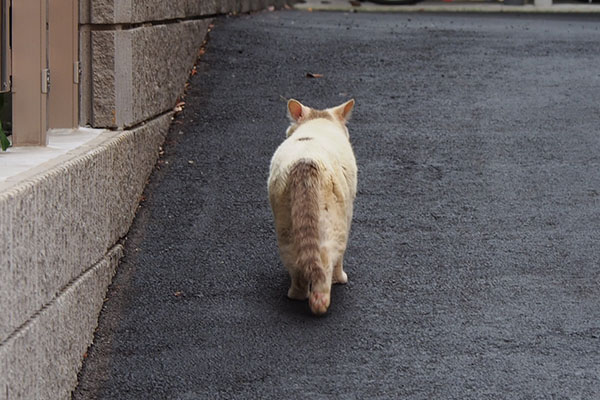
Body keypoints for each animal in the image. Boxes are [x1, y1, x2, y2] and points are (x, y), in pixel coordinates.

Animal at [268, 98, 356, 314]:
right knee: (328, 264)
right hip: (337, 228)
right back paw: (323, 298)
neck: (318, 124)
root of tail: (305, 162)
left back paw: (295, 294)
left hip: (285, 229)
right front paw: (341, 278)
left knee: (295, 264)